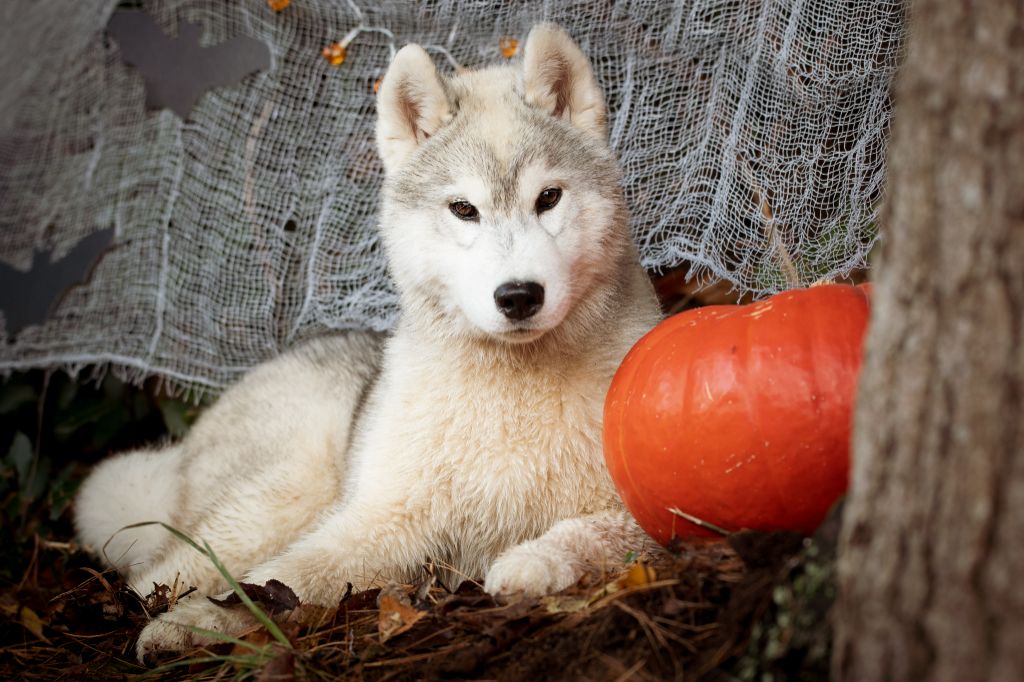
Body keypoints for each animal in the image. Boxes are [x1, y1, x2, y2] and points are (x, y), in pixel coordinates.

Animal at [74, 25, 663, 659]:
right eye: (464, 210)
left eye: (548, 198)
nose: (519, 296)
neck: (512, 392)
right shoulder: (381, 519)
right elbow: (278, 580)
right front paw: (193, 623)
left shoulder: (647, 506)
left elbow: (592, 534)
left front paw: (533, 564)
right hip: (288, 490)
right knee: (163, 570)